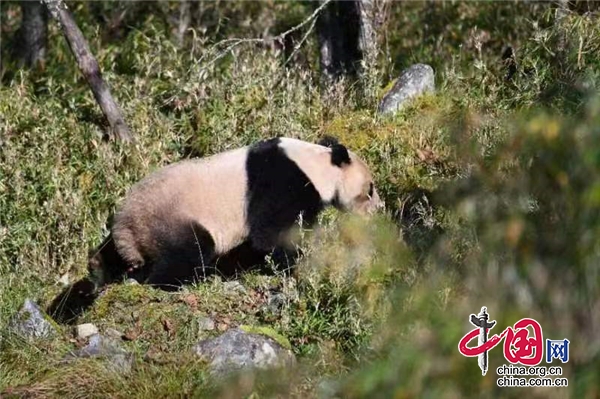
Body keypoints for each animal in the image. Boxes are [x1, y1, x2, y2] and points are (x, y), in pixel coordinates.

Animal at [86, 138, 382, 290]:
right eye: (370, 189)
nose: (378, 210)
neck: (317, 164)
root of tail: (126, 228)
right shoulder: (281, 182)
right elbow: (270, 232)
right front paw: (296, 261)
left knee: (107, 256)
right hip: (169, 218)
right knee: (188, 251)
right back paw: (179, 282)